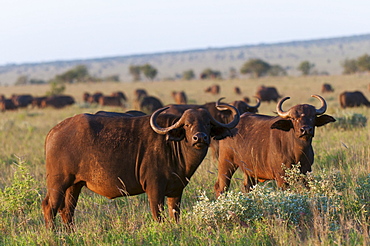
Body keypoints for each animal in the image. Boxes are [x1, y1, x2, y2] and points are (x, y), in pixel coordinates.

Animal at [42, 102, 240, 229]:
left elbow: (175, 215)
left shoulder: (176, 190)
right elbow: (157, 215)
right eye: (187, 125)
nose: (200, 138)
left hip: (75, 185)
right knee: (49, 207)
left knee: (67, 210)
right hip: (58, 182)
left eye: (207, 123)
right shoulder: (154, 189)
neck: (174, 146)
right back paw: (52, 233)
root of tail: (53, 131)